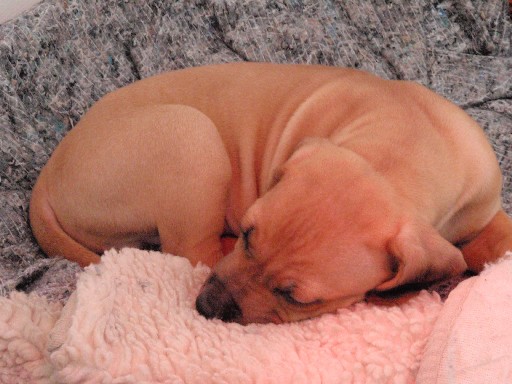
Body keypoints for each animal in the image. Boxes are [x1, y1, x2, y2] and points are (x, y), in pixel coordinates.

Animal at [30, 62, 510, 324]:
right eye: (246, 235)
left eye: (295, 297)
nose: (205, 306)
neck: (402, 145)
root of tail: (48, 175)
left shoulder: (484, 208)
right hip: (191, 138)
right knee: (192, 249)